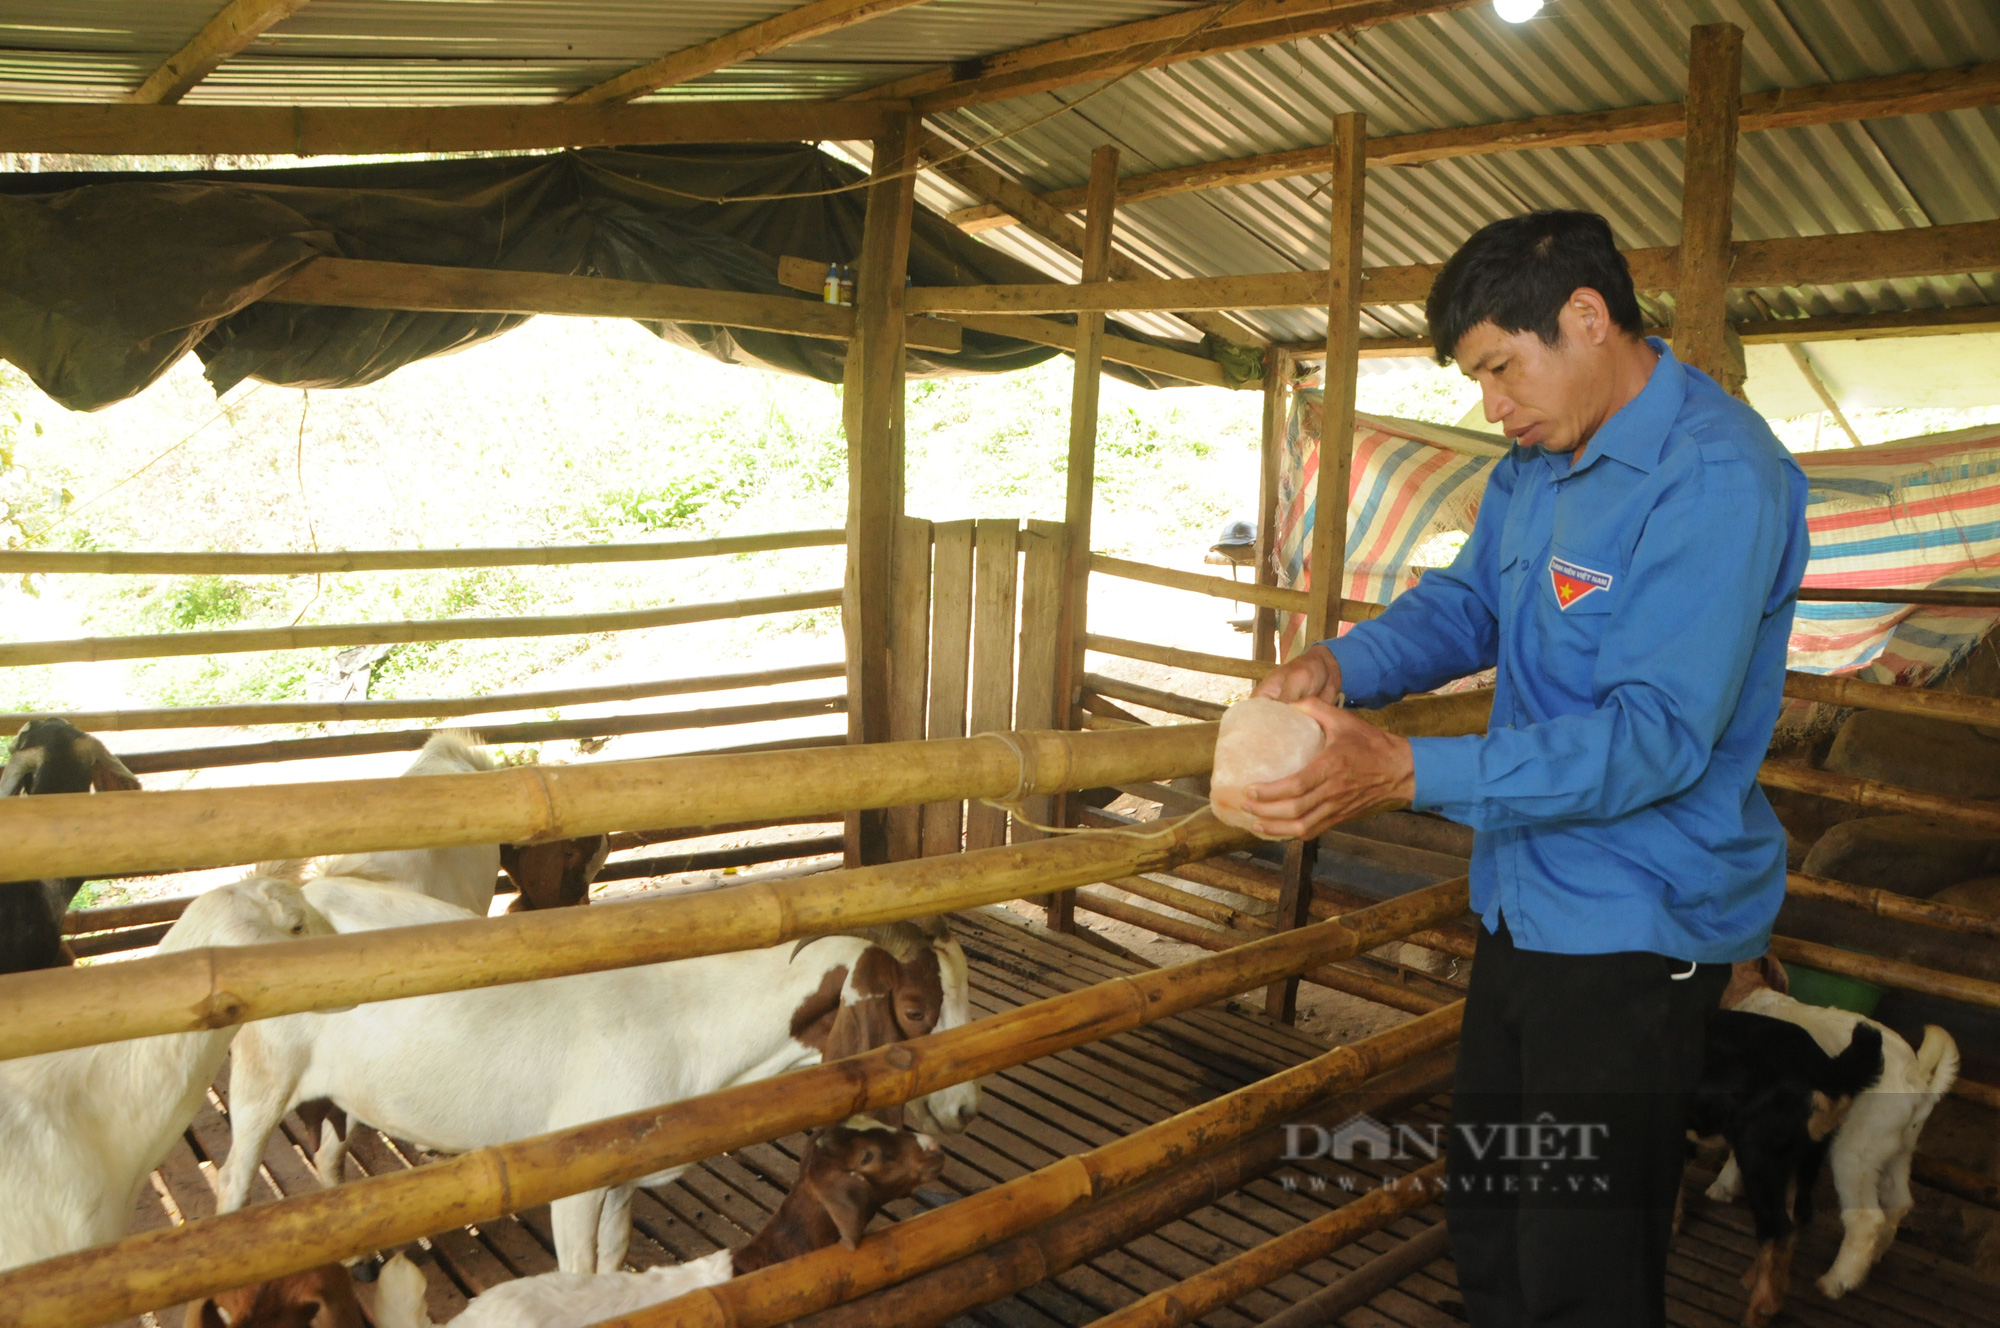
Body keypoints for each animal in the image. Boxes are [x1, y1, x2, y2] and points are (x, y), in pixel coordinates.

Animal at [215, 876, 980, 1272]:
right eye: (914, 1009)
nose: (968, 1112)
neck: (691, 1023)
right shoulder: (572, 1182)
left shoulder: (623, 1182)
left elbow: (610, 1265)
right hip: (261, 1075)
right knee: (232, 1183)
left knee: (330, 1154)